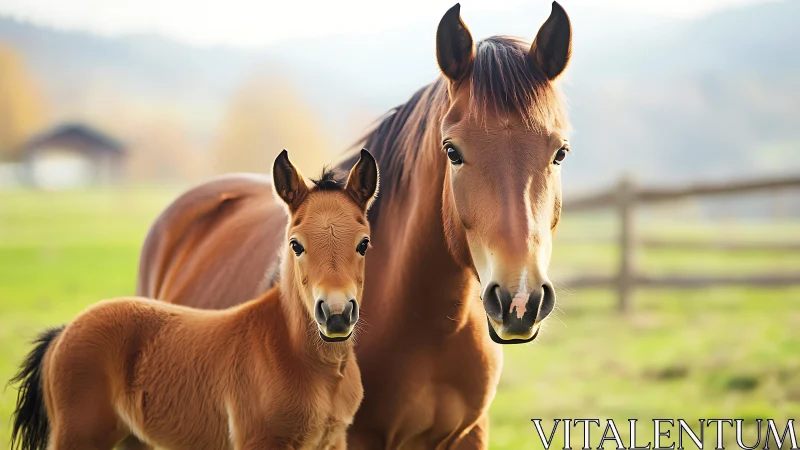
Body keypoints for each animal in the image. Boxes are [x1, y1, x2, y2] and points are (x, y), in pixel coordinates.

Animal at [10, 150, 380, 450]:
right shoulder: (259, 440)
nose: (335, 314)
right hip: (78, 436)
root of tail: (63, 333)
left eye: (363, 243)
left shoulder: (334, 440)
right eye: (296, 244)